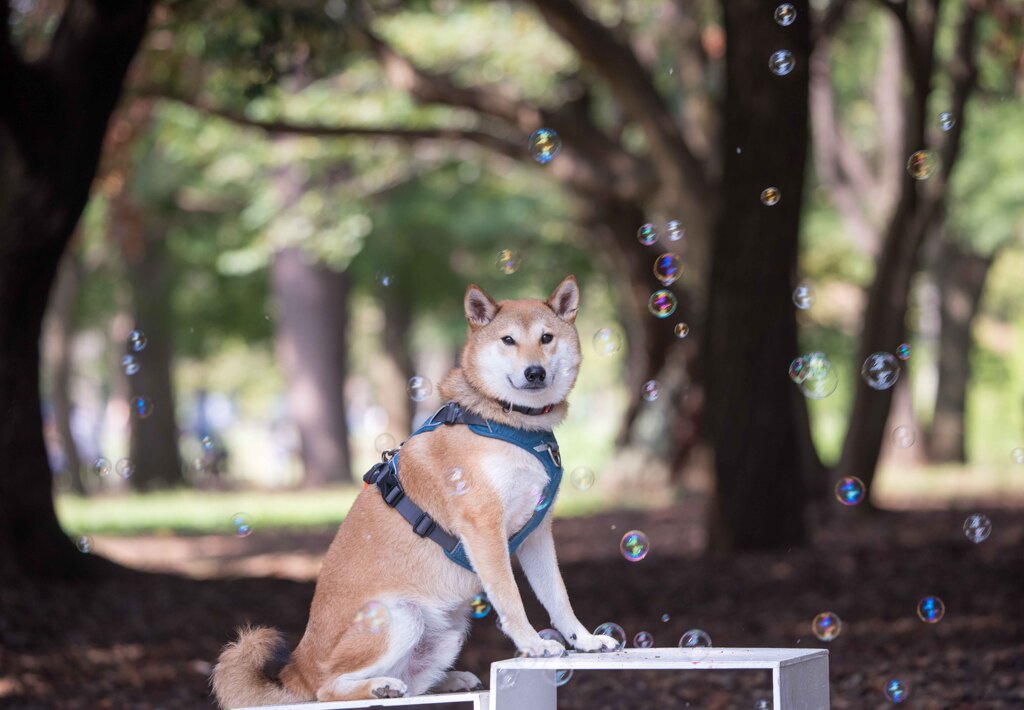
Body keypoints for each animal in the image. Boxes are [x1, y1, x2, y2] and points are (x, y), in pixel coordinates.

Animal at [212, 274, 614, 704]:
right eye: (508, 340)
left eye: (546, 337)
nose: (535, 372)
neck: (510, 424)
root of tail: (297, 667)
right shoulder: (484, 528)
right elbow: (510, 598)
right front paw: (533, 644)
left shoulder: (537, 533)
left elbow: (557, 596)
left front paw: (585, 640)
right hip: (399, 616)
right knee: (326, 689)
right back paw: (379, 686)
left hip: (448, 632)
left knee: (415, 682)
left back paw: (446, 681)